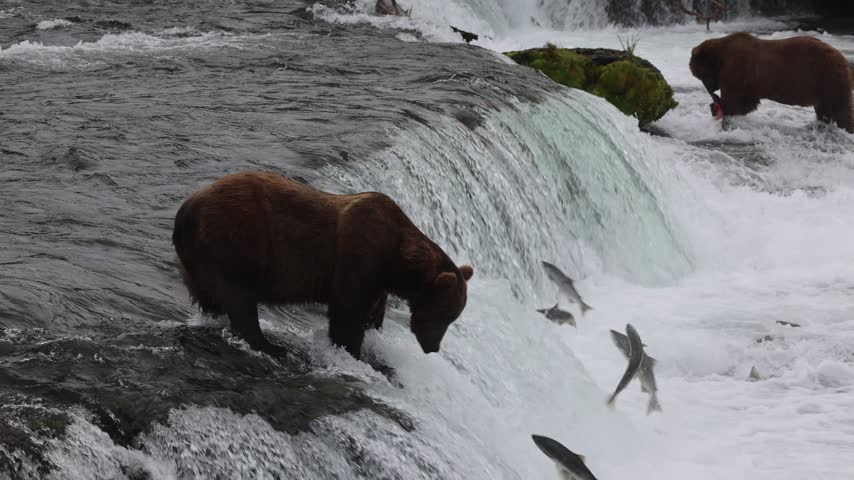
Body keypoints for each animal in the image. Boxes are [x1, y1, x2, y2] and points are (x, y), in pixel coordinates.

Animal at [171, 171, 474, 360]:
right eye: (445, 314)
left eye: (452, 317)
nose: (433, 347)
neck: (396, 261)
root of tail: (186, 209)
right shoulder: (360, 257)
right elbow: (347, 313)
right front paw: (351, 351)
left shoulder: (378, 279)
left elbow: (371, 312)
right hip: (238, 239)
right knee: (240, 297)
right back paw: (270, 346)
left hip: (198, 259)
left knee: (209, 295)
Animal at [689, 32, 853, 133]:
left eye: (699, 74)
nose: (712, 88)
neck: (720, 59)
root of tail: (844, 60)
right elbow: (747, 103)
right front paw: (715, 107)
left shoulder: (738, 70)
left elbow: (737, 100)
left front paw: (719, 107)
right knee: (824, 110)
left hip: (826, 78)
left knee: (841, 110)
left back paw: (846, 128)